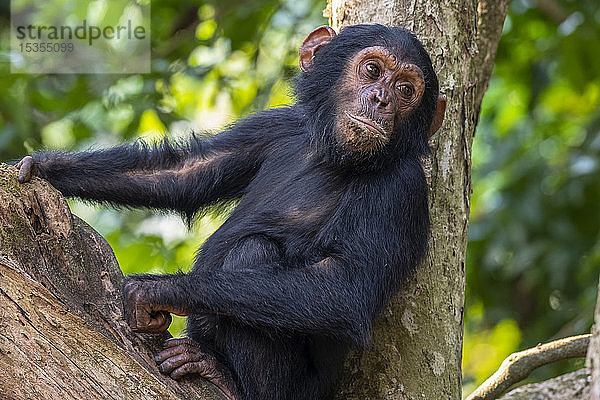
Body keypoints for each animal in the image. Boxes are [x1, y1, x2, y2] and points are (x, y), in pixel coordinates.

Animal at [15, 24, 446, 400]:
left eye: (406, 90)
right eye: (372, 69)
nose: (382, 99)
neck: (329, 153)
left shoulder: (402, 188)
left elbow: (345, 284)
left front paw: (157, 289)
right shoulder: (273, 124)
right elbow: (182, 173)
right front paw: (44, 167)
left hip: (298, 391)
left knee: (252, 250)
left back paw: (225, 378)